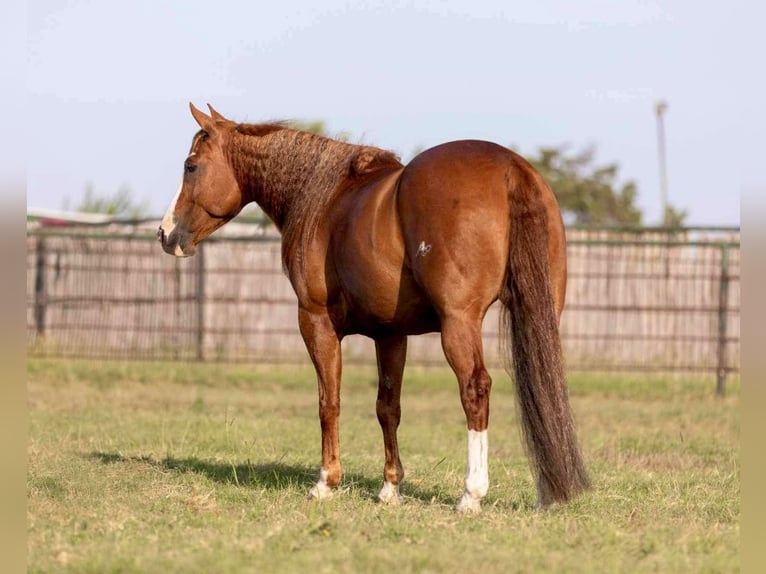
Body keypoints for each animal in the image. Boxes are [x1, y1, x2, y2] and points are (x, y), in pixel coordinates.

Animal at [158, 103, 589, 511]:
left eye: (191, 166)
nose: (165, 234)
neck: (324, 199)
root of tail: (510, 168)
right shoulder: (391, 334)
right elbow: (388, 407)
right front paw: (390, 489)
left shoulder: (315, 322)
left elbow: (328, 401)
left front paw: (326, 482)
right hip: (541, 313)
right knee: (543, 385)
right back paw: (546, 493)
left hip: (459, 323)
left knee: (475, 389)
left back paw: (472, 494)